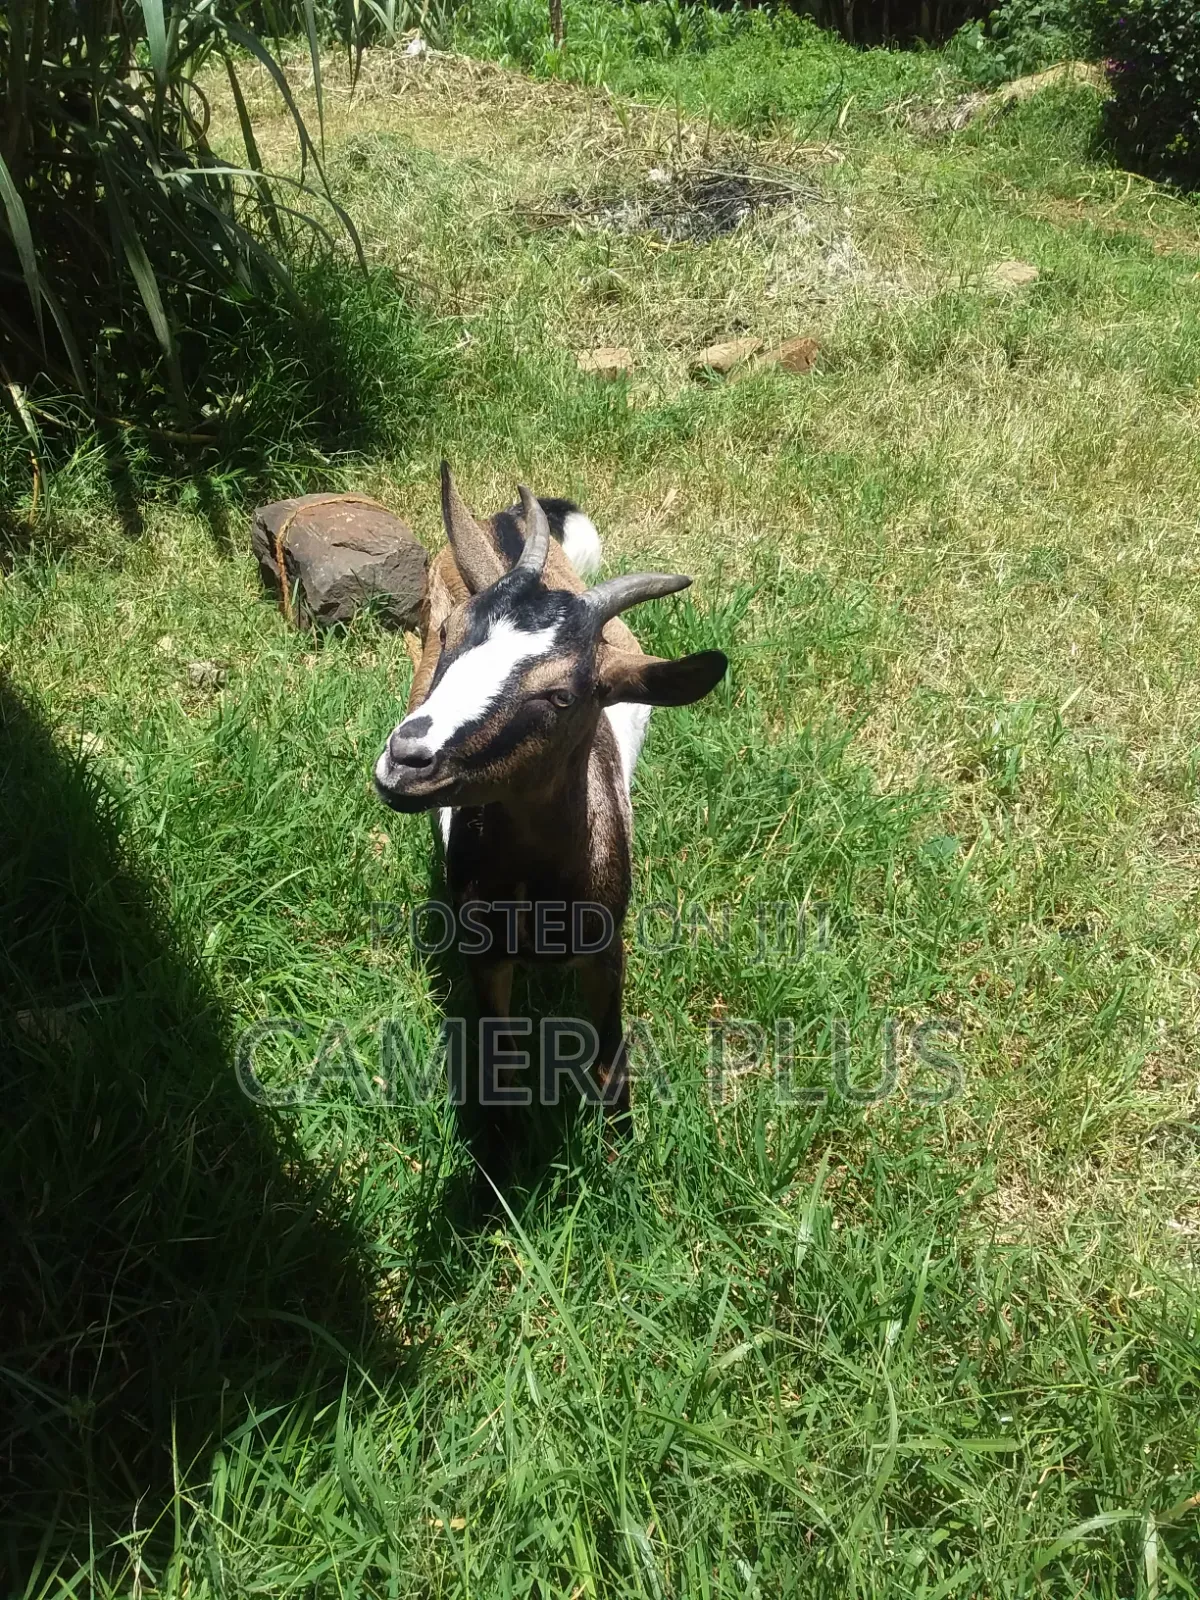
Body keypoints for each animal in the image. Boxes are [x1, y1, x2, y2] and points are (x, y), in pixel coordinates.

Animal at [374, 464, 727, 1149]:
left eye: (563, 694)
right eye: (449, 635)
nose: (406, 760)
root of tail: (502, 520)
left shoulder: (606, 946)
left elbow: (610, 1062)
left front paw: (620, 1149)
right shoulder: (485, 954)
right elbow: (500, 1067)